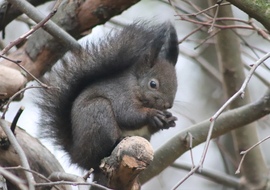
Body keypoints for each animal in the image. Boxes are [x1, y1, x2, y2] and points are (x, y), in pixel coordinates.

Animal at [37, 21, 178, 178]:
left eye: (176, 84)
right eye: (153, 84)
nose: (168, 105)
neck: (135, 85)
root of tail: (77, 155)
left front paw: (169, 120)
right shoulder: (121, 95)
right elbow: (127, 115)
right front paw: (152, 114)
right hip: (99, 114)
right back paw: (116, 142)